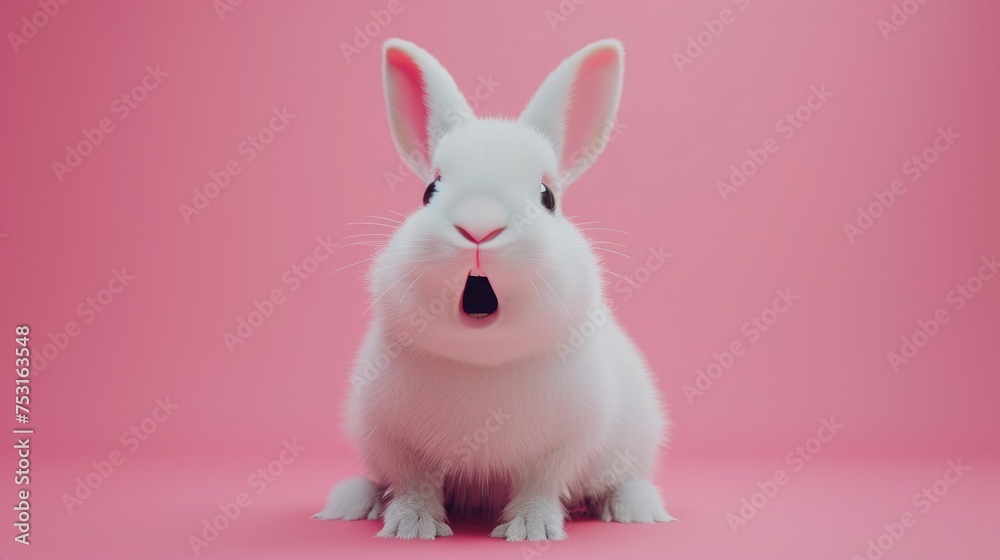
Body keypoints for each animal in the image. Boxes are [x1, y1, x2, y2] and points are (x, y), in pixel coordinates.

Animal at [314, 38, 674, 541]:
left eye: (547, 197)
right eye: (430, 190)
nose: (479, 226)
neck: (482, 361)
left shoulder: (561, 445)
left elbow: (540, 484)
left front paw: (530, 529)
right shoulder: (397, 441)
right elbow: (413, 482)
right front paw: (412, 527)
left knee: (622, 480)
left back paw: (638, 509)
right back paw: (353, 502)